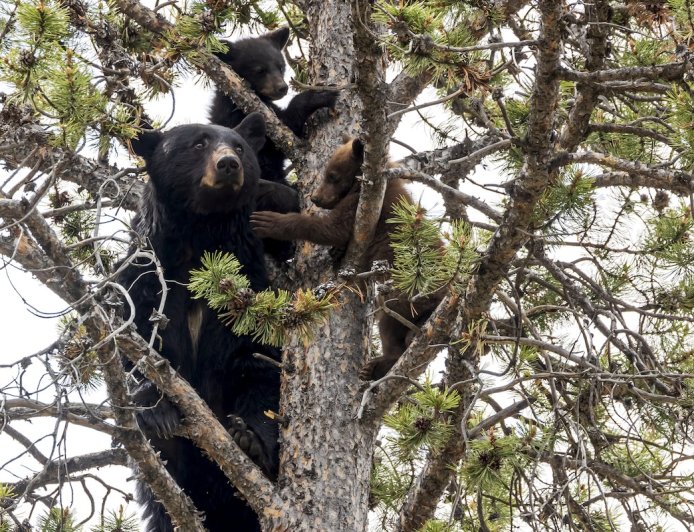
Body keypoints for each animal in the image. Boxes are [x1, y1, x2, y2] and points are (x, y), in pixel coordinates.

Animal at [118, 113, 280, 532]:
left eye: (239, 146)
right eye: (197, 143)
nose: (229, 164)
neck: (198, 243)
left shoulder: (248, 289)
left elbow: (258, 362)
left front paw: (250, 437)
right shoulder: (147, 277)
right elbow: (136, 343)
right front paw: (156, 406)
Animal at [210, 27, 338, 260]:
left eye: (280, 66)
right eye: (260, 70)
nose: (282, 88)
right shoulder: (239, 117)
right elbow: (284, 128)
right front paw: (318, 95)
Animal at [251, 138, 444, 380]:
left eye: (332, 176)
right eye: (326, 173)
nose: (315, 198)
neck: (365, 184)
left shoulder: (362, 205)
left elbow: (333, 228)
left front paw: (269, 222)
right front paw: (336, 251)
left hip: (407, 290)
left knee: (391, 318)